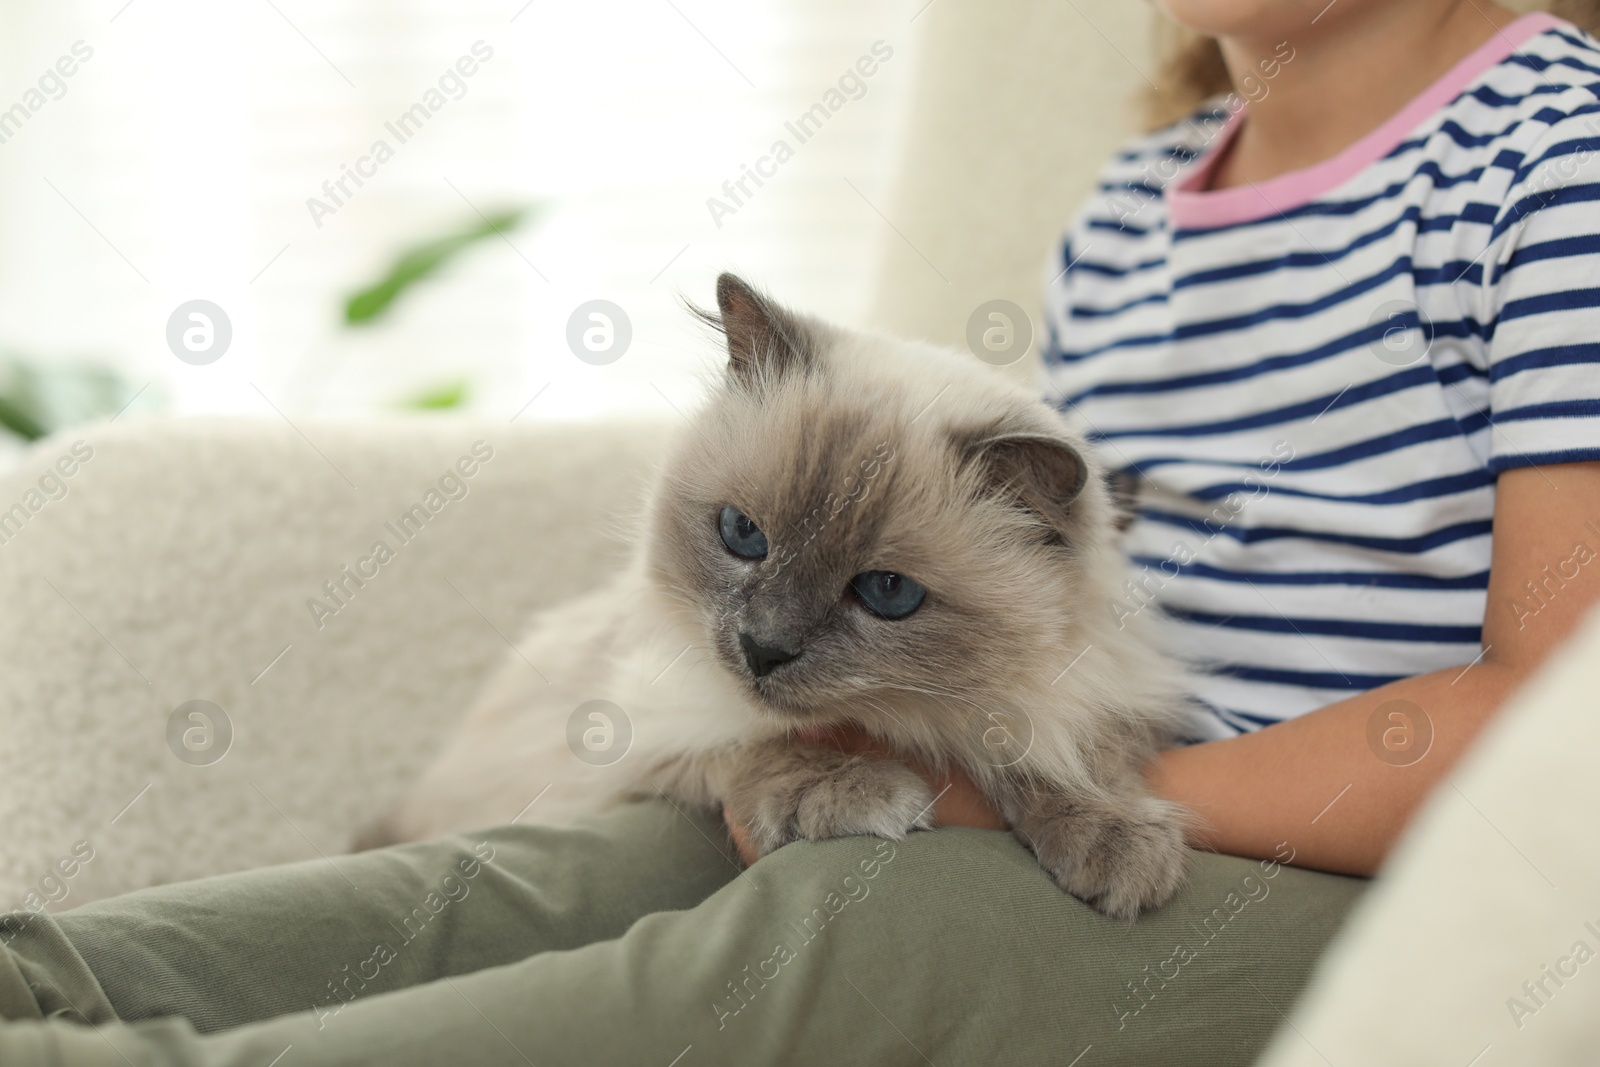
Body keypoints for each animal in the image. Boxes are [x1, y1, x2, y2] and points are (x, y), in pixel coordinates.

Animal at [380, 273, 1196, 921]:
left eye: (887, 592)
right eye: (744, 534)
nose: (762, 648)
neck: (903, 720)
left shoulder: (1080, 694)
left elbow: (1065, 753)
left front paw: (1115, 841)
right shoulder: (639, 743)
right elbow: (756, 745)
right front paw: (861, 793)